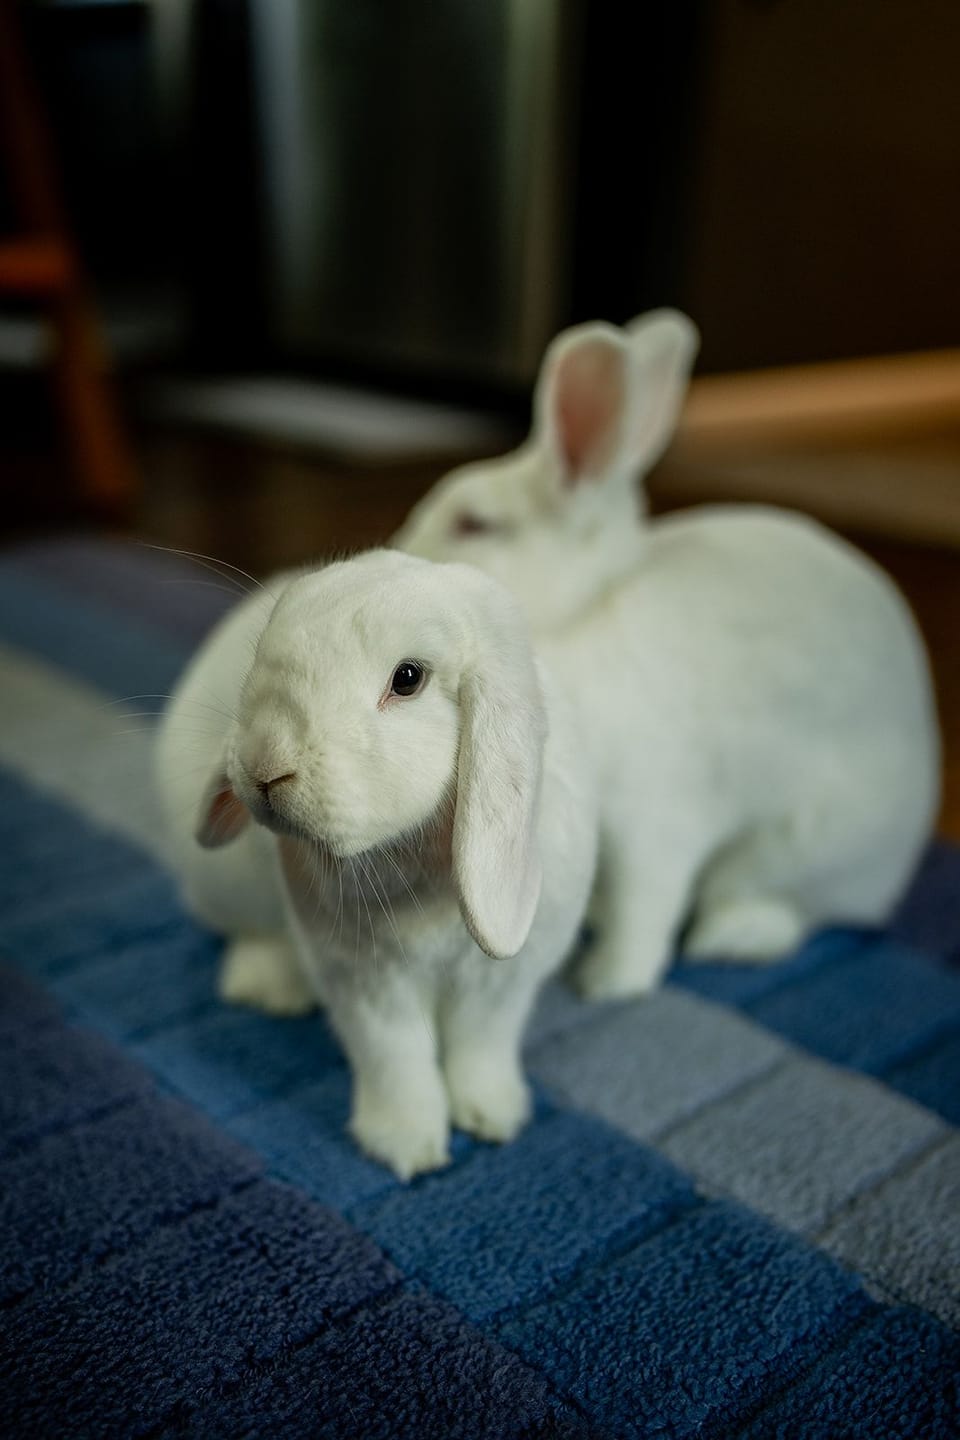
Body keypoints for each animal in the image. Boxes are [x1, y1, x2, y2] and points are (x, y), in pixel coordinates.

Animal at [155, 548, 598, 1178]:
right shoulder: (362, 982)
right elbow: (395, 1058)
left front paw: (493, 1117)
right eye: (265, 652)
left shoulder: (500, 984)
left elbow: (480, 1045)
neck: (414, 859)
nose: (265, 765)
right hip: (230, 888)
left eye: (407, 678)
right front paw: (407, 1148)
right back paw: (269, 988)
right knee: (249, 931)